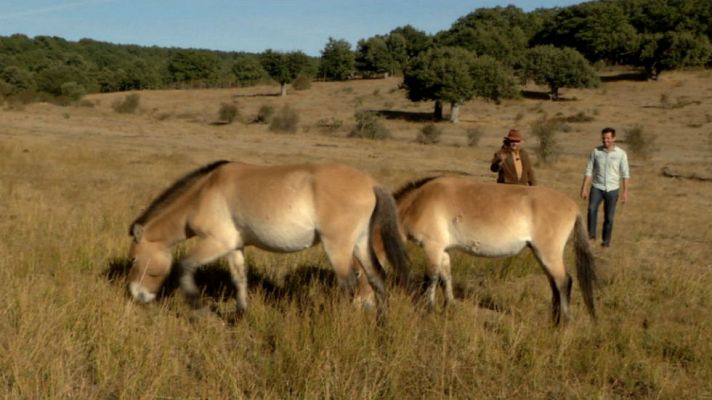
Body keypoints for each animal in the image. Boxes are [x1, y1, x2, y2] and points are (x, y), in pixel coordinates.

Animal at [127, 160, 409, 319]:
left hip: (338, 247)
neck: (204, 192)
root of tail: (371, 183)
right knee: (376, 277)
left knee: (348, 283)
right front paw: (242, 315)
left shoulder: (216, 243)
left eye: (133, 260)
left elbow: (184, 265)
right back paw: (382, 320)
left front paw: (198, 308)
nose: (137, 295)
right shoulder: (234, 247)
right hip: (360, 243)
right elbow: (239, 279)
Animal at [387, 175, 597, 325]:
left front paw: (427, 310)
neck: (417, 203)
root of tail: (574, 207)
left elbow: (430, 279)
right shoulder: (443, 251)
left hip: (548, 255)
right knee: (554, 284)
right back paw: (554, 320)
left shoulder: (433, 248)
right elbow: (445, 278)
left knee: (564, 282)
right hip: (542, 256)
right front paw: (449, 306)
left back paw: (563, 324)